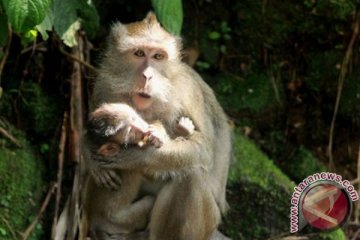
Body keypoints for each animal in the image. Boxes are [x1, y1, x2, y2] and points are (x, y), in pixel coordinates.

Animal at [84, 102, 194, 238]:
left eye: (134, 118)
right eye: (130, 131)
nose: (143, 129)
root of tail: (92, 220)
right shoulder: (137, 165)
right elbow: (162, 170)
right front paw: (182, 133)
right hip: (118, 223)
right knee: (148, 201)